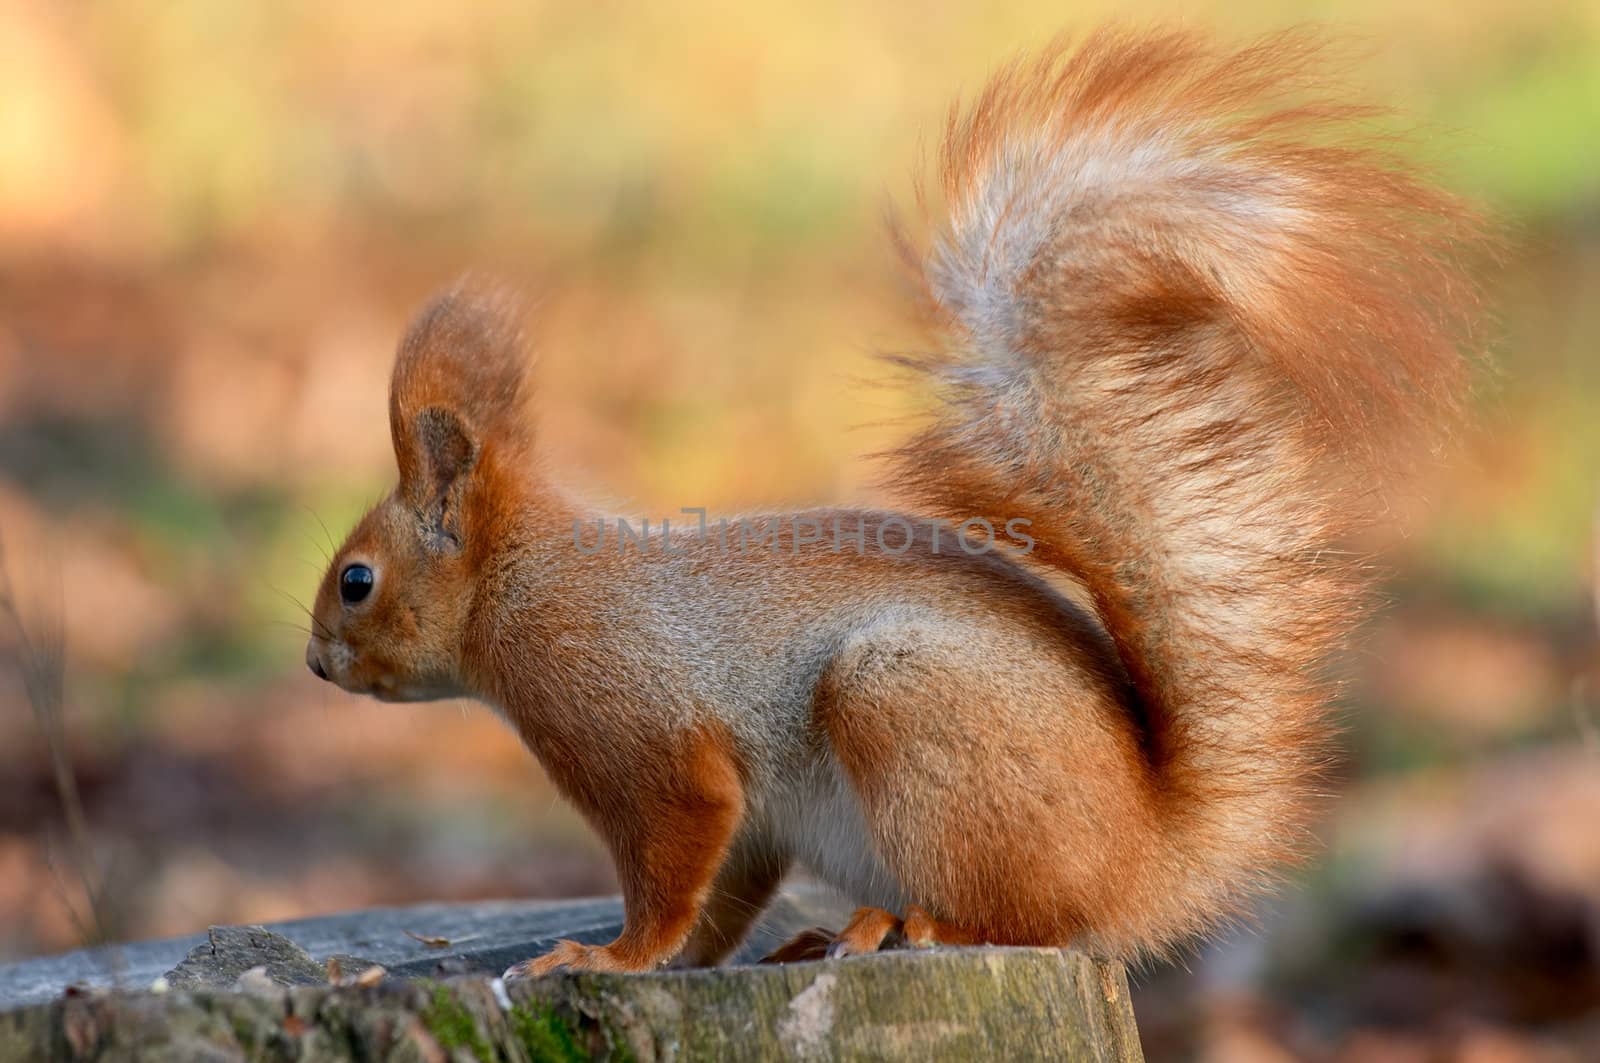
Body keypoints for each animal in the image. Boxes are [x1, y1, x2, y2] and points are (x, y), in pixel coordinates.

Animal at [305, 24, 1478, 973]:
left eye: (356, 581)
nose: (316, 664)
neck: (523, 581)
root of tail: (1146, 864)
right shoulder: (751, 820)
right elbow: (722, 896)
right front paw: (676, 960)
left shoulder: (642, 737)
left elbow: (671, 863)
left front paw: (604, 960)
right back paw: (829, 935)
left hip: (903, 706)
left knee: (1022, 919)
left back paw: (908, 925)